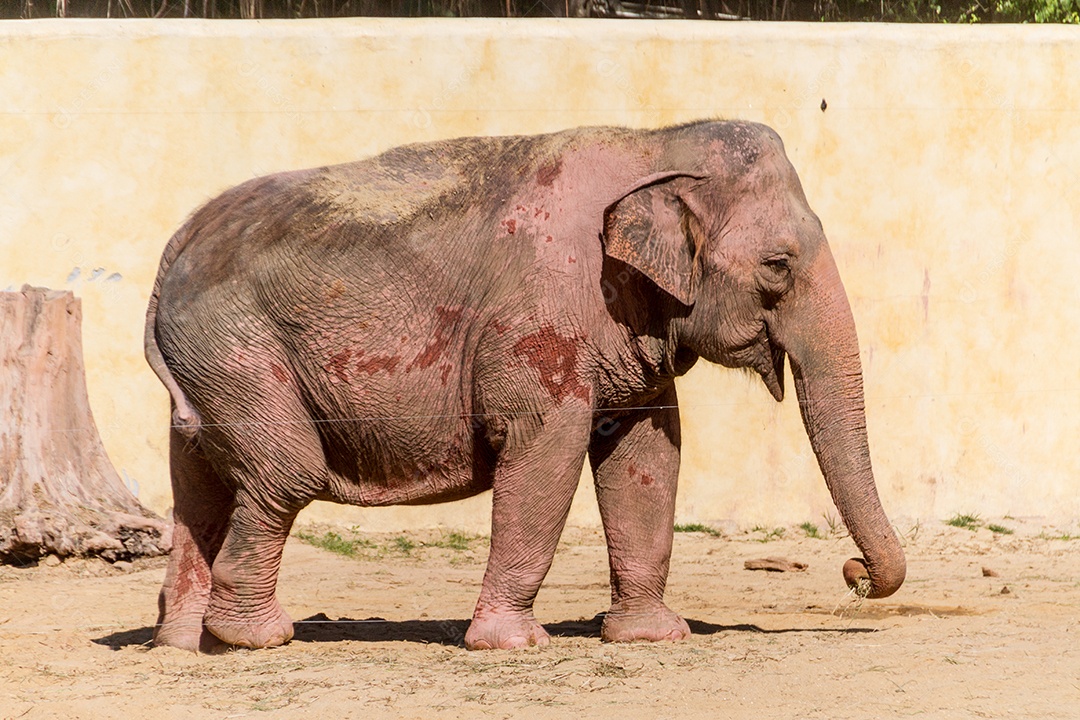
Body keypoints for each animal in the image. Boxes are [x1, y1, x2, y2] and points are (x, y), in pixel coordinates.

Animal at [144, 120, 906, 653]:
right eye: (778, 265)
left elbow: (647, 456)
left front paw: (654, 637)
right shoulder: (543, 315)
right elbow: (548, 449)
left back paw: (185, 645)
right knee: (286, 473)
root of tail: (172, 250)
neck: (654, 140)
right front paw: (514, 644)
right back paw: (257, 638)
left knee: (200, 488)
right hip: (237, 351)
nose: (853, 574)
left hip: (206, 369)